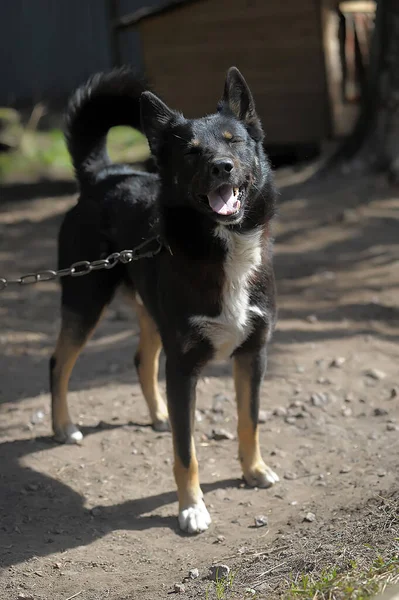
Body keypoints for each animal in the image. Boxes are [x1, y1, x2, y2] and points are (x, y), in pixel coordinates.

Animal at [50, 67, 278, 536]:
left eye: (233, 140)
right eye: (192, 152)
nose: (222, 167)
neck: (220, 247)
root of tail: (104, 175)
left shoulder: (253, 354)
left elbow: (248, 420)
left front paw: (253, 471)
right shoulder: (183, 366)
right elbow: (185, 451)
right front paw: (191, 508)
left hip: (150, 312)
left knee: (142, 359)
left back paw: (158, 415)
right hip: (85, 300)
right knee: (59, 363)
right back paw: (63, 426)